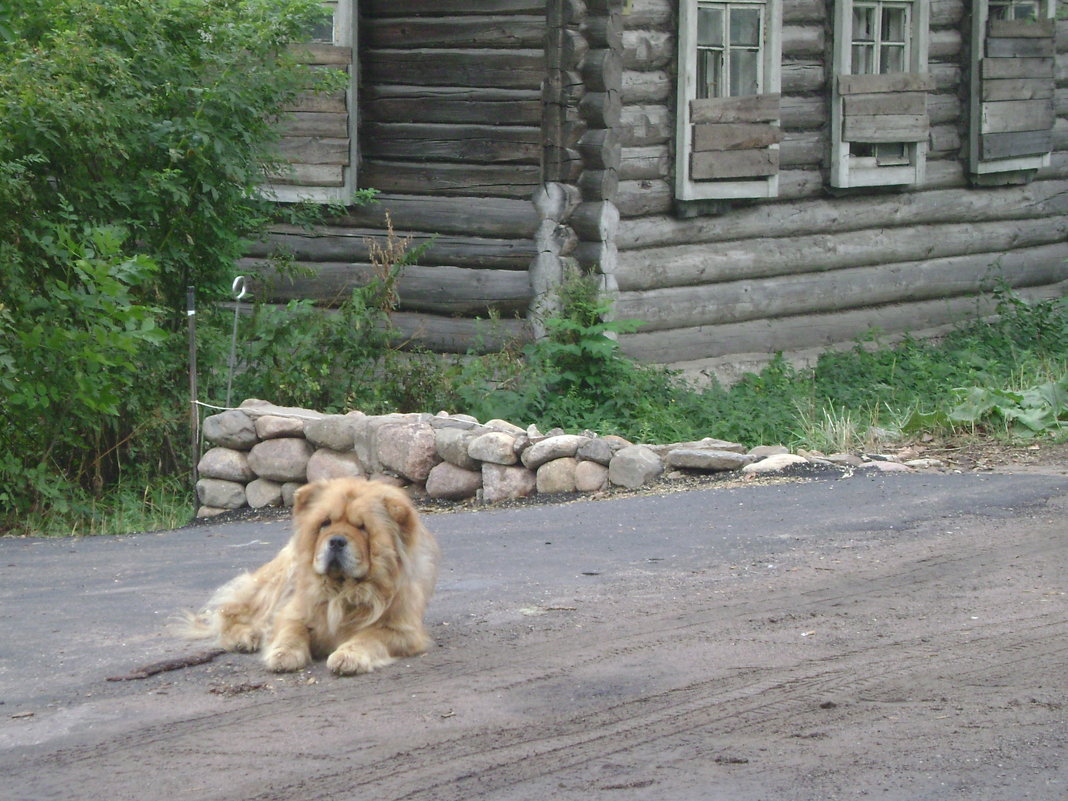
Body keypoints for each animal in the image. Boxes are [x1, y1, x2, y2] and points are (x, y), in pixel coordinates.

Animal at [183, 480, 437, 674]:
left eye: (363, 527)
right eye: (325, 523)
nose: (336, 541)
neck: (342, 592)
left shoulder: (402, 630)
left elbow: (369, 636)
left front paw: (347, 657)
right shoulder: (292, 612)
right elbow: (291, 632)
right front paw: (282, 654)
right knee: (232, 612)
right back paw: (246, 637)